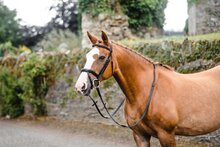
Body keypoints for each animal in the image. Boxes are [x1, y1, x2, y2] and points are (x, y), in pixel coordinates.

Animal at [75, 30, 220, 146]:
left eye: (101, 57)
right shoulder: (140, 136)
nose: (80, 86)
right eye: (87, 56)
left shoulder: (167, 135)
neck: (147, 92)